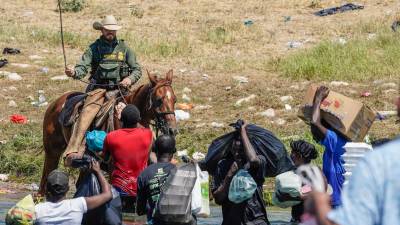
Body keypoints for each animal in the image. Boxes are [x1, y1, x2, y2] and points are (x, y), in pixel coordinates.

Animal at [39, 70, 177, 193]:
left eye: (174, 99)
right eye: (159, 100)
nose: (172, 129)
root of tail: (55, 103)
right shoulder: (113, 168)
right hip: (52, 153)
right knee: (44, 183)